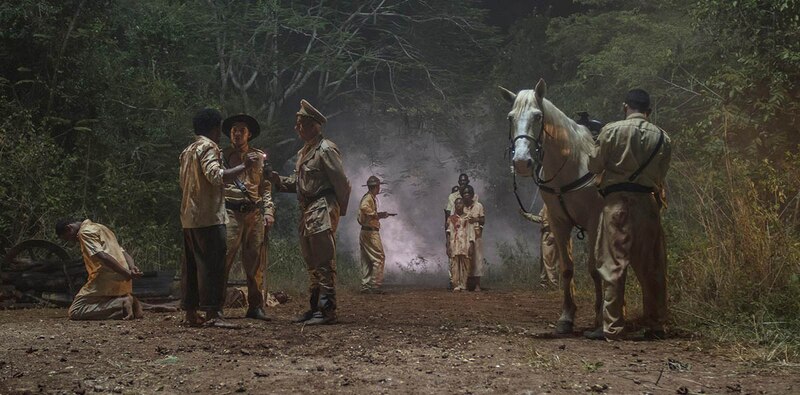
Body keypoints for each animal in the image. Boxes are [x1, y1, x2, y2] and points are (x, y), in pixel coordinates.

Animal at [496, 79, 604, 334]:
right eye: (510, 117)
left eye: (537, 116)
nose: (521, 163)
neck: (572, 165)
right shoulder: (558, 222)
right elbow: (567, 269)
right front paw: (566, 317)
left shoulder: (595, 220)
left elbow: (594, 268)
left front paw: (599, 318)